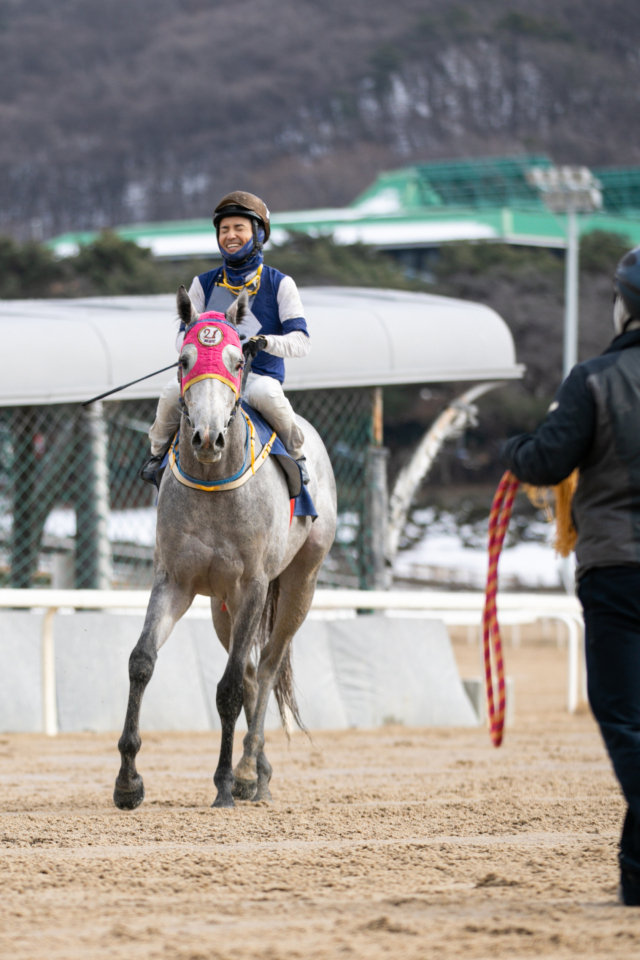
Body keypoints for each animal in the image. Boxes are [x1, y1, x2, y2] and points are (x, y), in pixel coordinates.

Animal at [113, 286, 338, 808]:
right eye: (184, 360)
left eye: (237, 361)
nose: (208, 437)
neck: (214, 482)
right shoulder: (174, 581)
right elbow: (141, 662)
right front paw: (128, 781)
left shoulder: (253, 585)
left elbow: (230, 687)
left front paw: (222, 784)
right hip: (222, 605)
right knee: (255, 670)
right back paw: (256, 772)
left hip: (299, 583)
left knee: (269, 664)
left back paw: (248, 767)